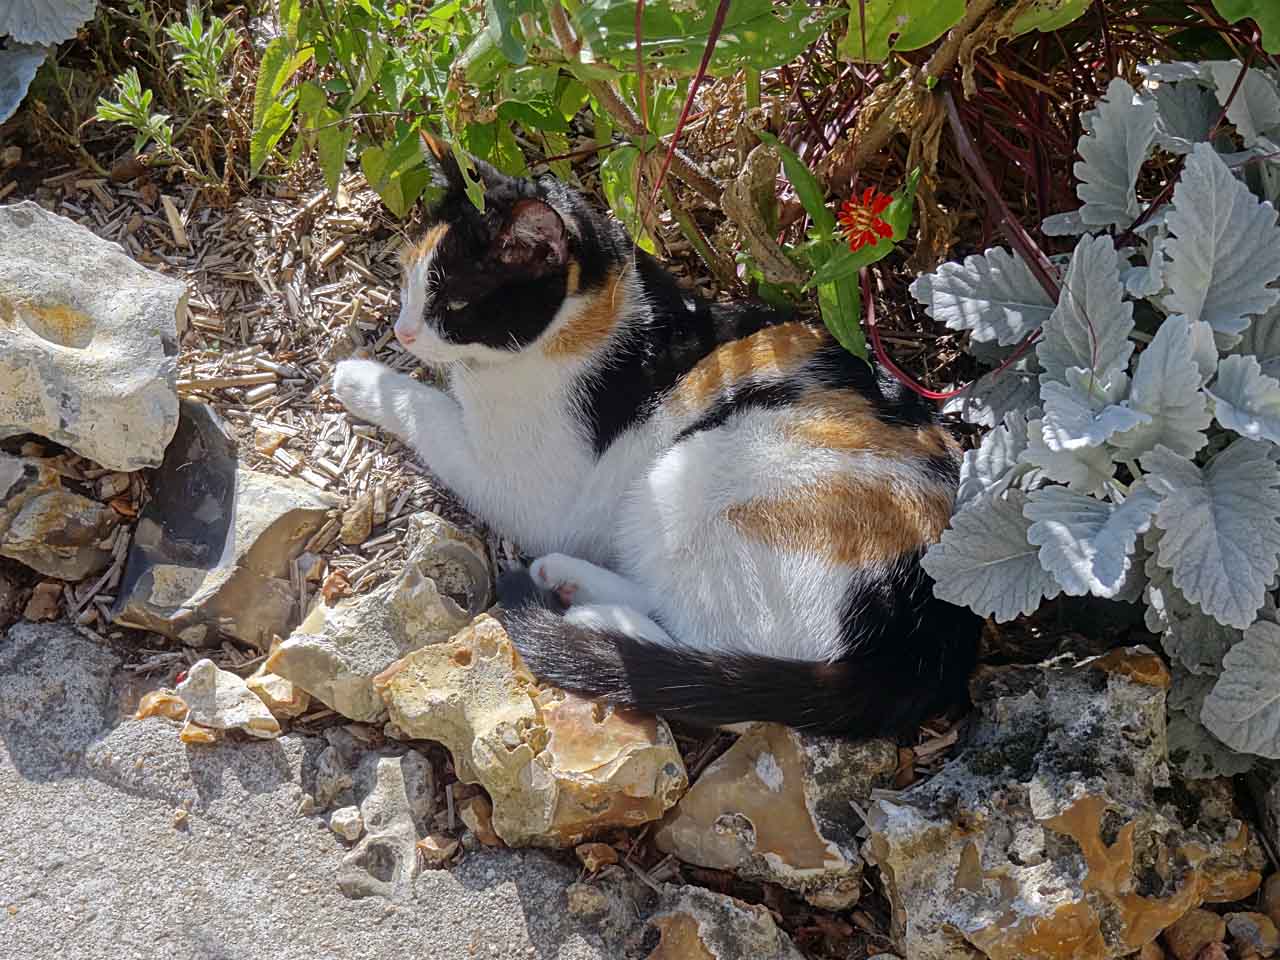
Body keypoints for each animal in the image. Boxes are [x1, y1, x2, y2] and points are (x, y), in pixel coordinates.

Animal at [332, 131, 977, 742]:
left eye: (457, 303)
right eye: (408, 278)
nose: (402, 331)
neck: (594, 311)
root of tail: (928, 629)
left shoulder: (532, 493)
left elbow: (427, 408)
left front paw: (358, 377)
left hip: (694, 474)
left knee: (723, 680)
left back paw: (595, 624)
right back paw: (566, 582)